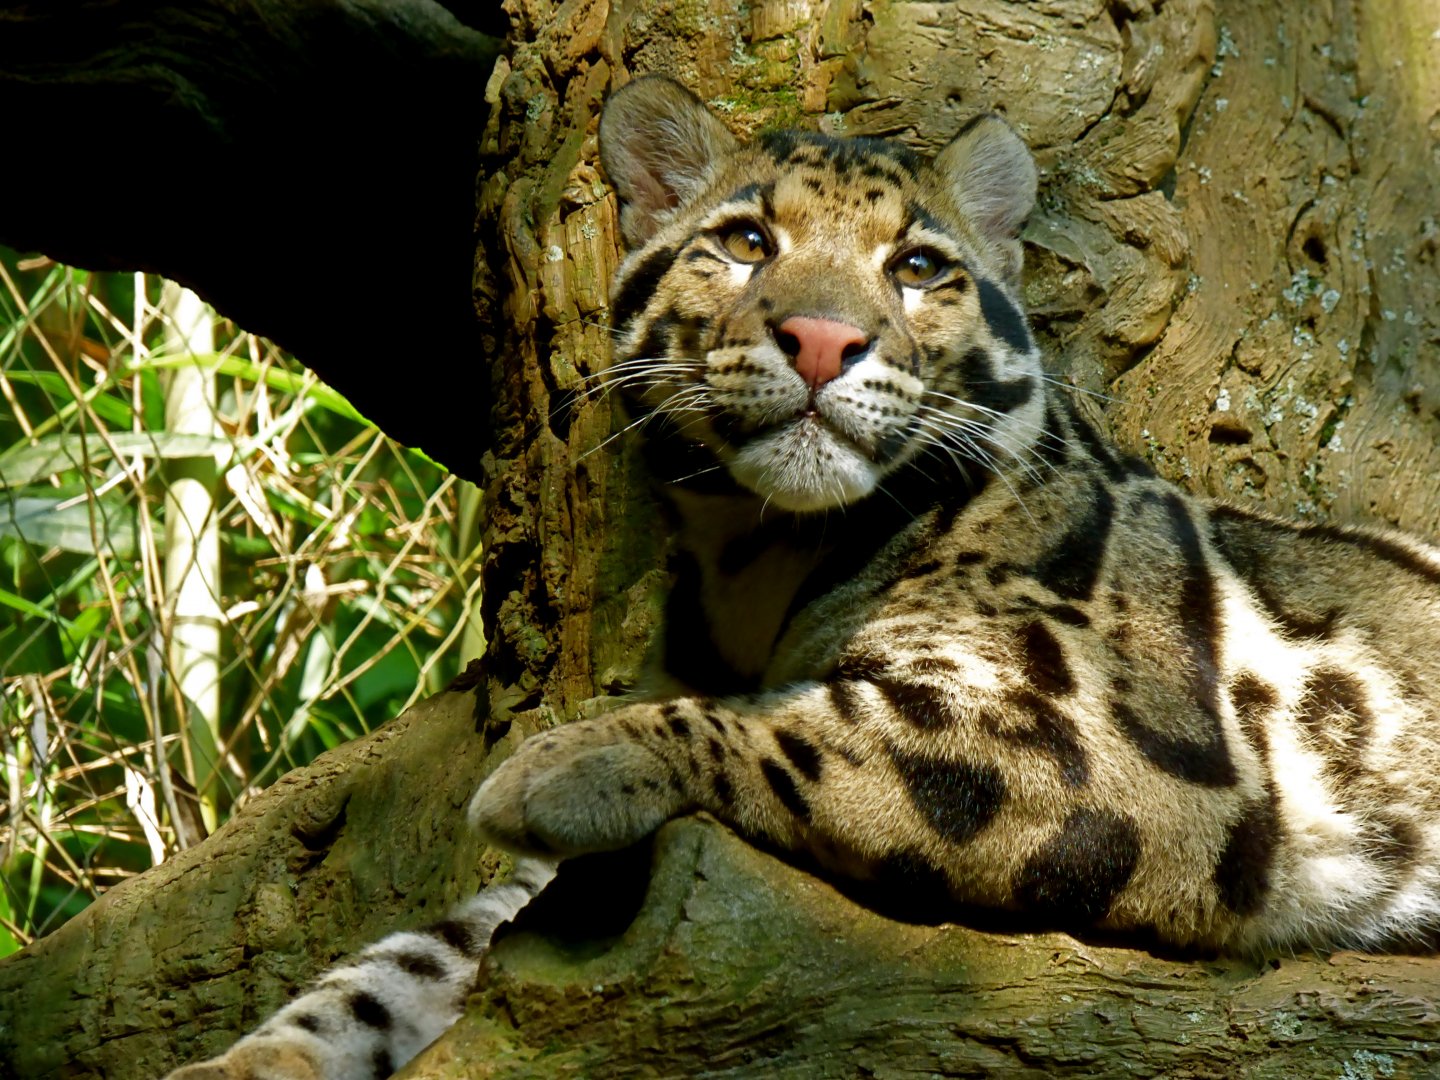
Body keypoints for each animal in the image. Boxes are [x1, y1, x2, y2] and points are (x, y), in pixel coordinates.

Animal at [164, 75, 1440, 1079]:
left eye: (919, 267)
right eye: (745, 244)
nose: (824, 341)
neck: (756, 548)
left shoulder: (1137, 753)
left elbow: (797, 729)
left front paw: (564, 762)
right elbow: (415, 949)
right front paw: (254, 1060)